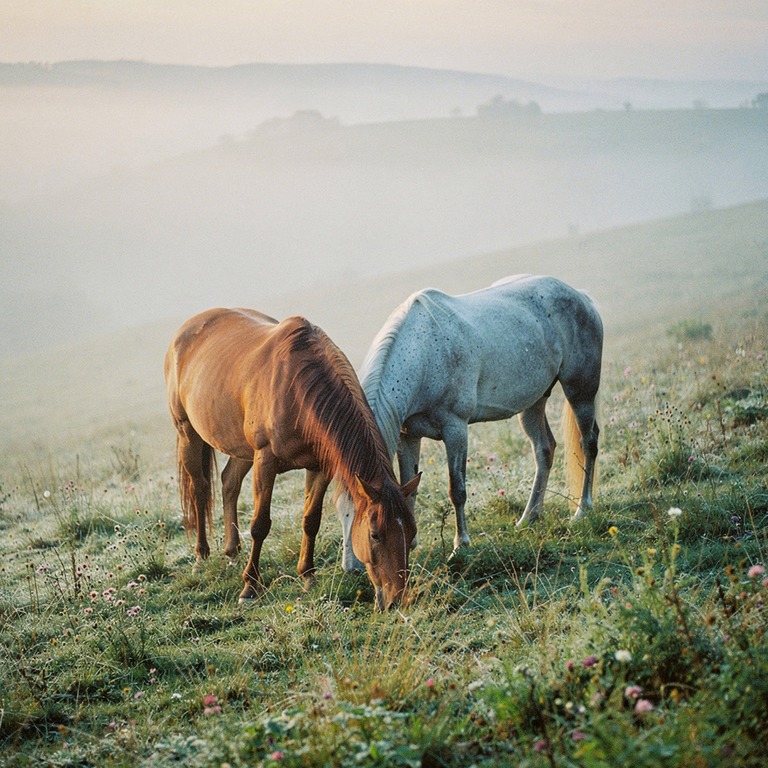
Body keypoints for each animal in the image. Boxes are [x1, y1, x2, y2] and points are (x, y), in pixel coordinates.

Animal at [164, 308, 420, 610]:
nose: (398, 600)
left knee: (229, 483)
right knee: (201, 490)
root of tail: (187, 329)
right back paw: (201, 556)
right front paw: (250, 586)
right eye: (375, 534)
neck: (297, 390)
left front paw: (308, 576)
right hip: (187, 433)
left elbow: (311, 520)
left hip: (242, 448)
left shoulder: (320, 467)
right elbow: (260, 525)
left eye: (411, 532)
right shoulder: (265, 461)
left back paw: (232, 551)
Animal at [337, 274, 602, 569]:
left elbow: (457, 490)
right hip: (533, 403)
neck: (423, 354)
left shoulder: (455, 430)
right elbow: (409, 489)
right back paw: (528, 518)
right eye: (340, 513)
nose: (352, 568)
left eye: (368, 520)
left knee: (588, 443)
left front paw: (460, 546)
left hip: (580, 392)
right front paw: (410, 544)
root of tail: (580, 296)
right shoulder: (408, 436)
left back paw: (583, 509)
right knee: (544, 450)